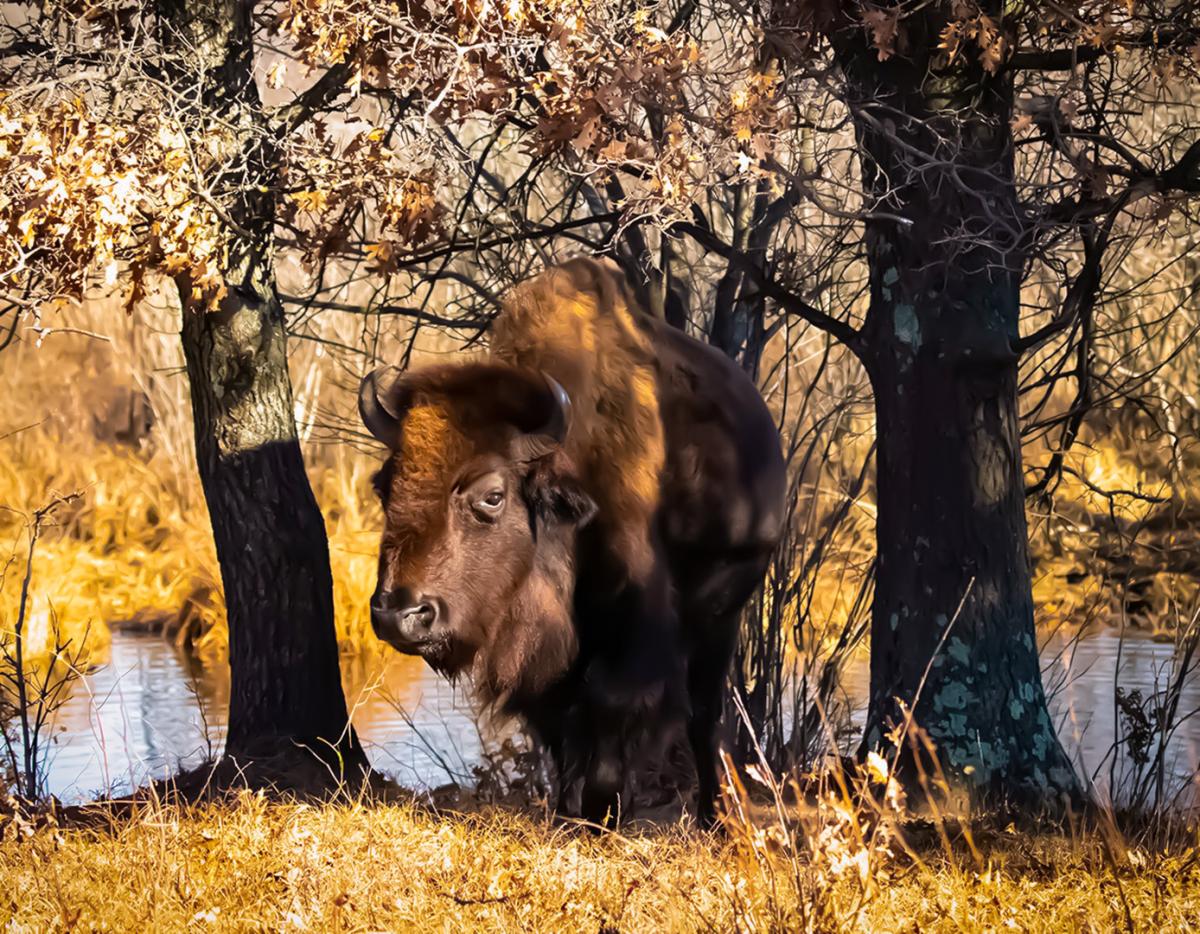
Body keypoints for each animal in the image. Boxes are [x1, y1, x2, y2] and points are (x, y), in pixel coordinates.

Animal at [358, 258, 786, 826]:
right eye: (384, 486)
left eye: (492, 496)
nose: (398, 614)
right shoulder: (546, 658)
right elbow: (557, 728)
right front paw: (567, 812)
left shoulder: (633, 631)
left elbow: (611, 709)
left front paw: (603, 813)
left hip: (724, 611)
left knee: (705, 713)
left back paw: (712, 816)